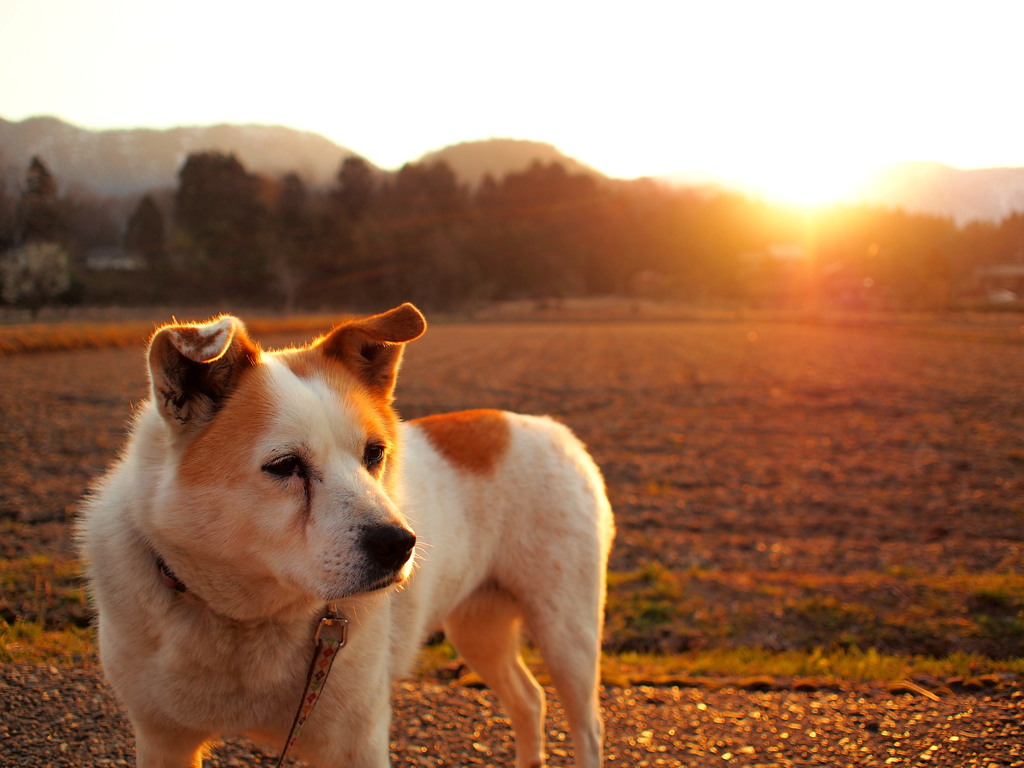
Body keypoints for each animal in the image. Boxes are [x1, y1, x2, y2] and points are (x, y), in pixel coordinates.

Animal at [79, 307, 610, 768]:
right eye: (285, 466)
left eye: (375, 453)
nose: (400, 545)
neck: (247, 619)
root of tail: (546, 426)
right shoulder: (162, 740)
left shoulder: (356, 743)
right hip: (480, 627)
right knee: (530, 699)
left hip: (567, 632)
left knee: (586, 727)